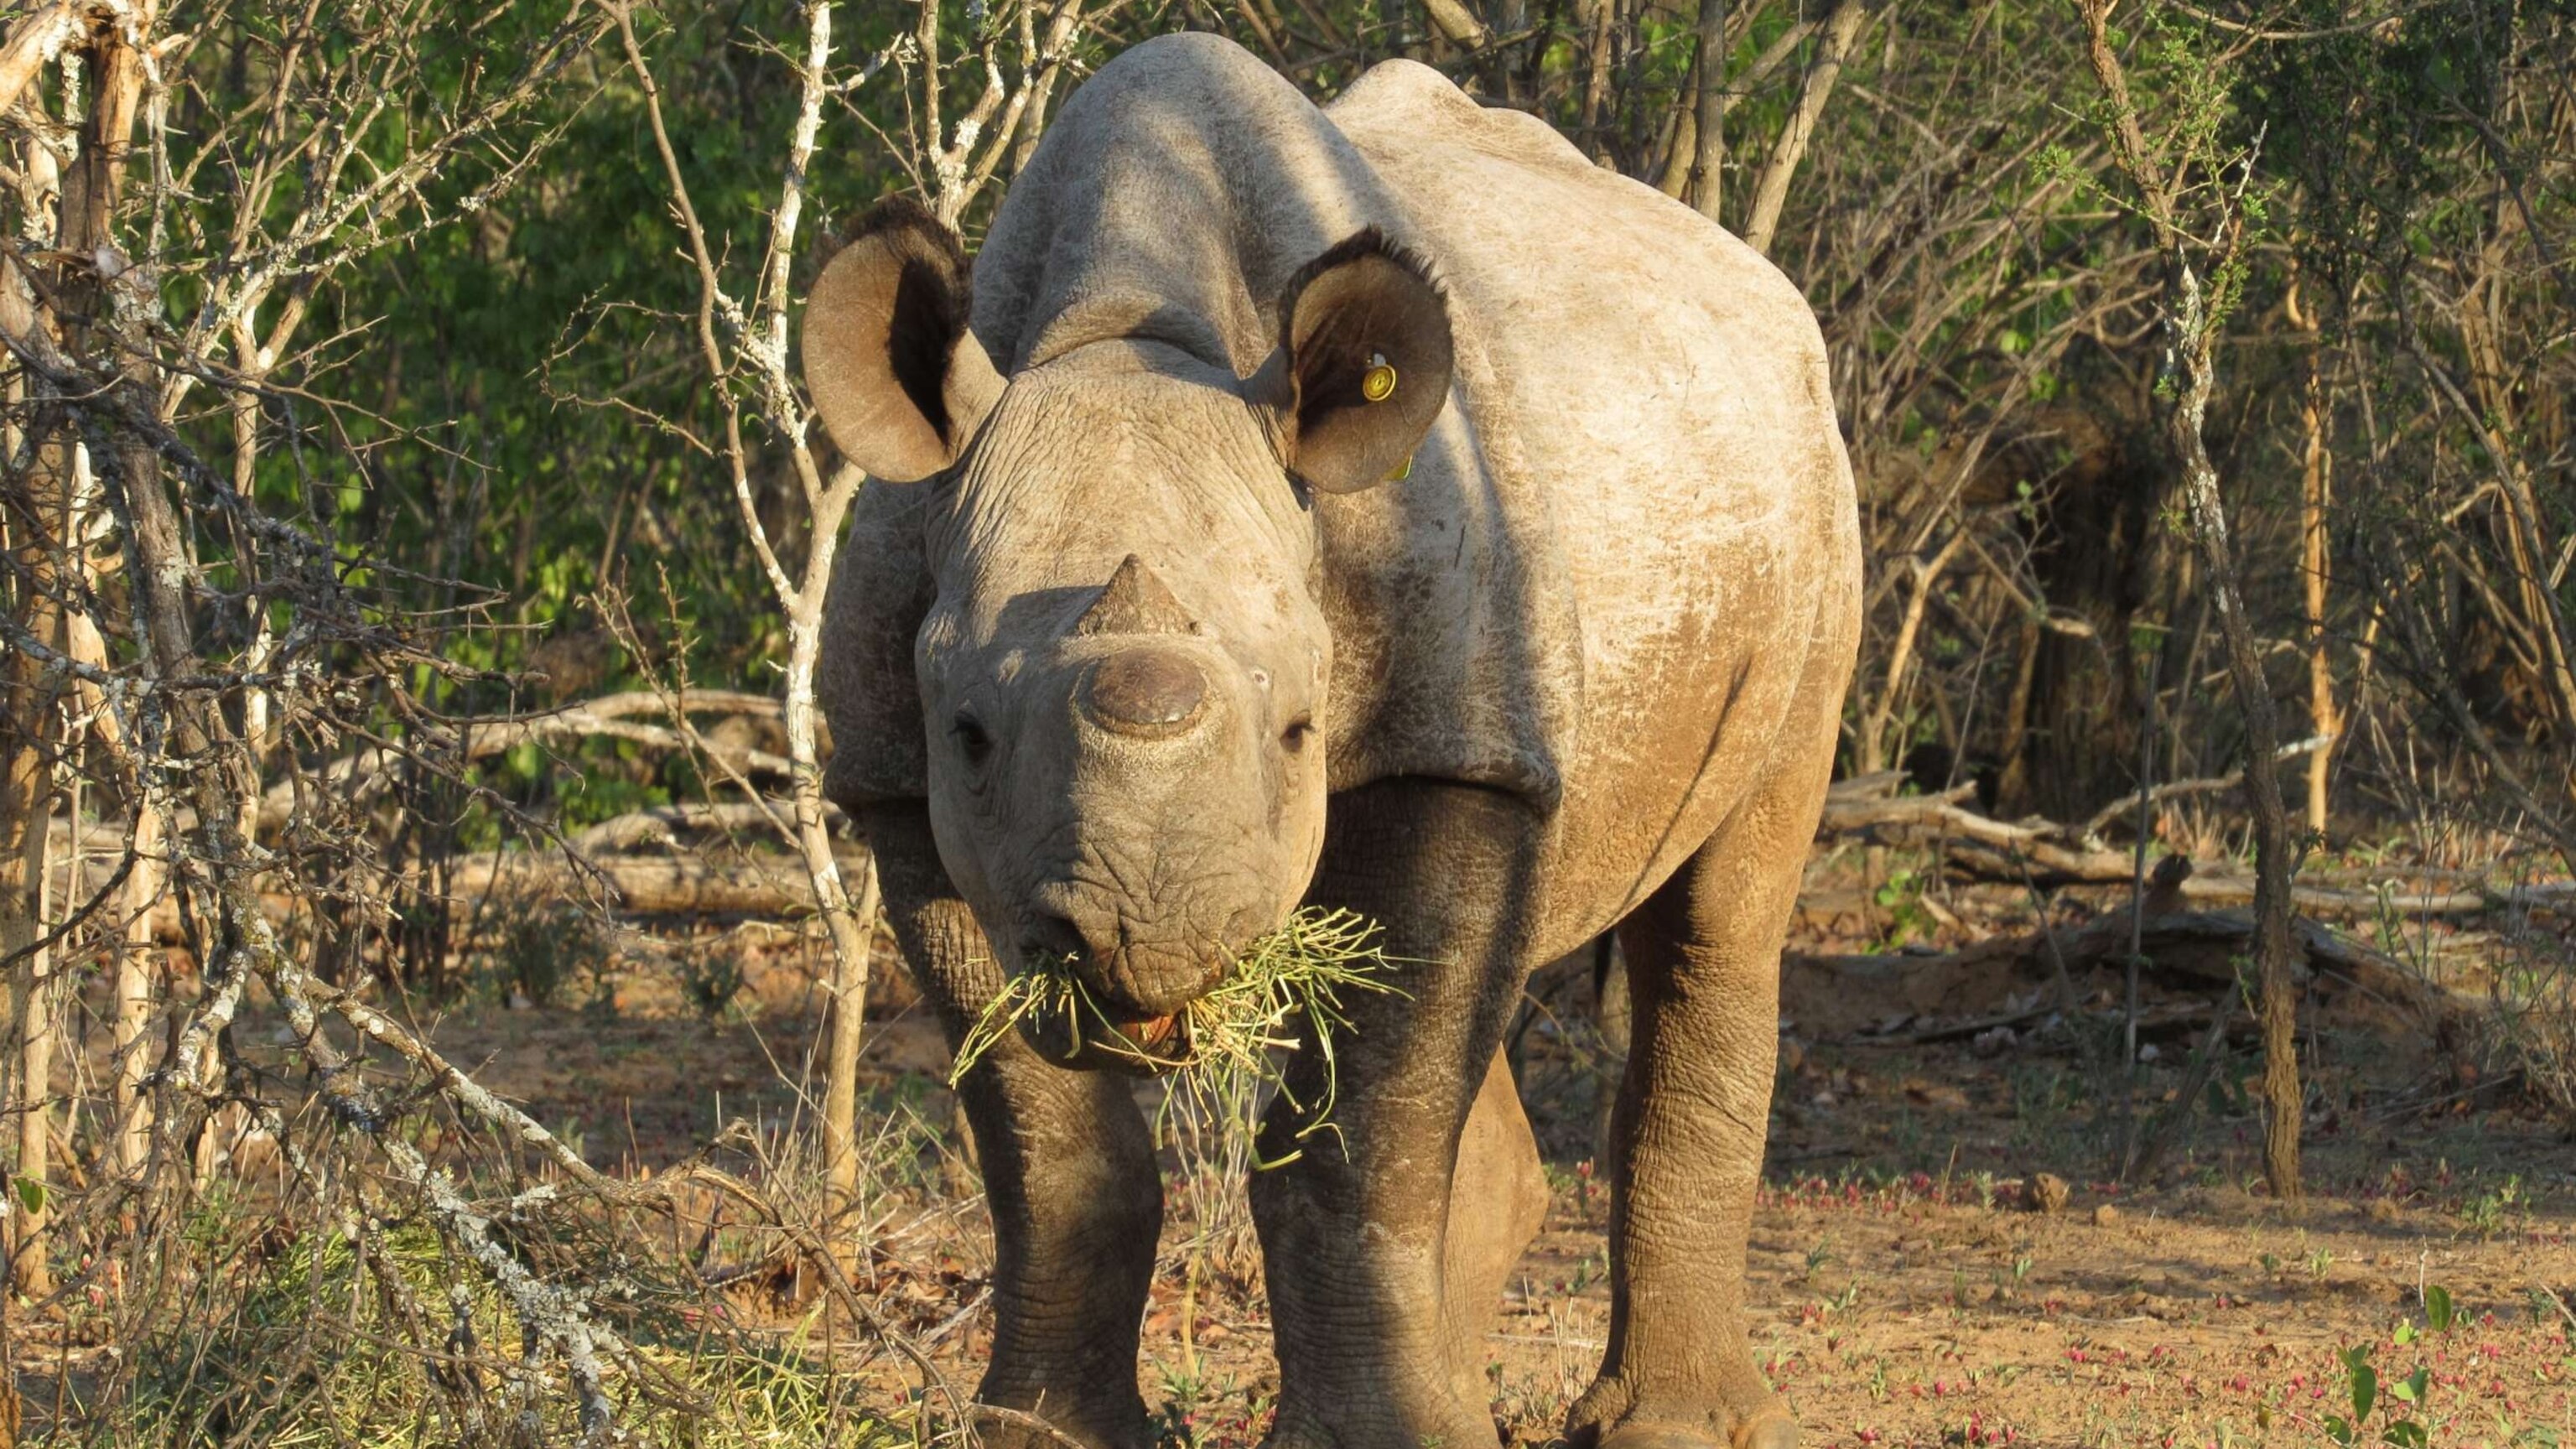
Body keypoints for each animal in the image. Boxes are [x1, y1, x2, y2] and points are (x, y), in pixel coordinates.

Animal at [804, 32, 1859, 1449]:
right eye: (967, 734)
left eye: (1302, 732)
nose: (1152, 938)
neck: (1124, 335)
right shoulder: (896, 786)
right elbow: (1053, 1150)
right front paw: (1053, 1434)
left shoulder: (1450, 742)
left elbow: (1355, 1147)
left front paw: (1378, 1438)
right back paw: (1469, 1393)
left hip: (1807, 491)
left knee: (1725, 908)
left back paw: (1669, 1425)